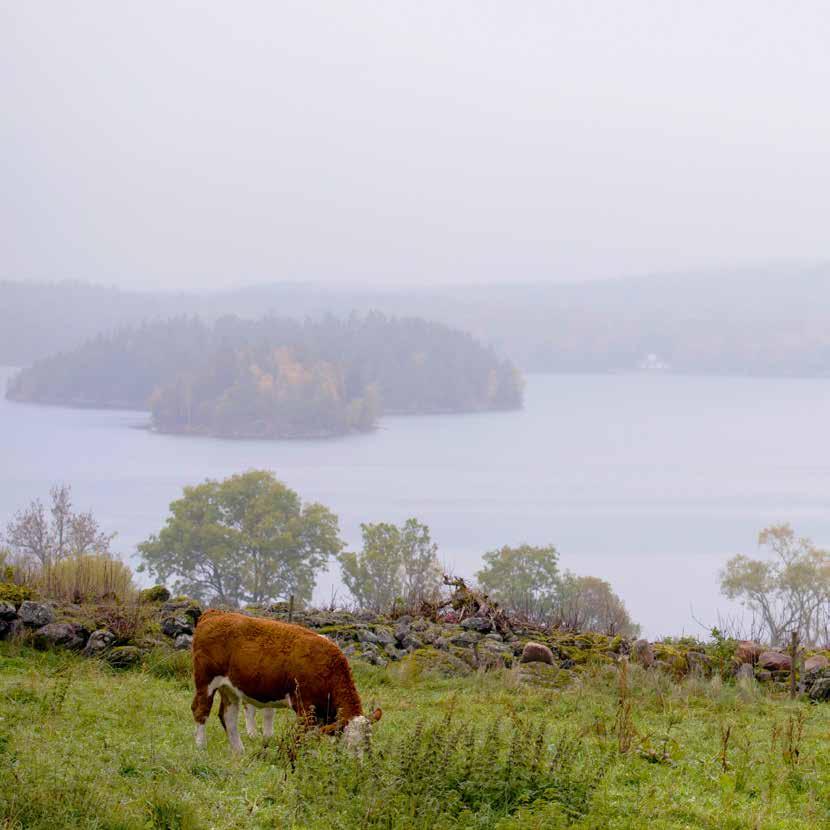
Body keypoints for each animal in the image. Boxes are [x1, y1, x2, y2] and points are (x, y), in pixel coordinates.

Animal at [190, 612, 382, 752]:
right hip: (205, 682)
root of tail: (215, 613)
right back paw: (200, 746)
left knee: (228, 717)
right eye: (350, 744)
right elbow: (303, 738)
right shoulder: (305, 709)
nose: (358, 767)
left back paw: (239, 751)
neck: (328, 668)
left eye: (368, 747)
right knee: (201, 711)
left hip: (229, 689)